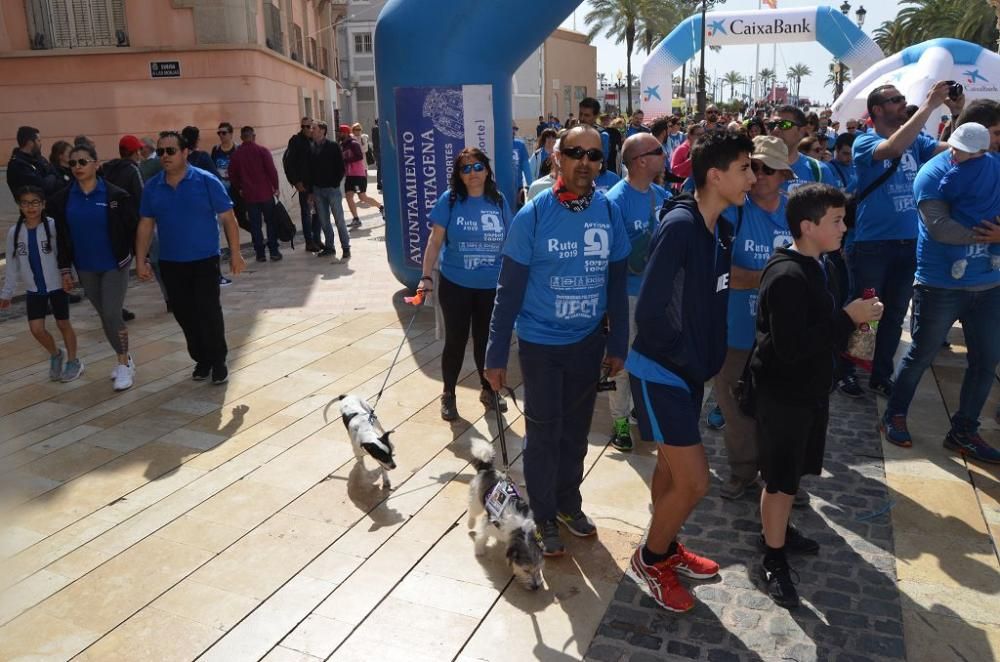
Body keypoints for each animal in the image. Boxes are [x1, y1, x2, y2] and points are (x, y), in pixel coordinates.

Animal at [466, 440, 544, 592]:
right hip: (476, 500)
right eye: (526, 570)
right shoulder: (489, 523)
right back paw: (470, 524)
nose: (536, 587)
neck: (519, 530)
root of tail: (488, 469)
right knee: (472, 511)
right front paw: (479, 550)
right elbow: (481, 536)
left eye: (539, 568)